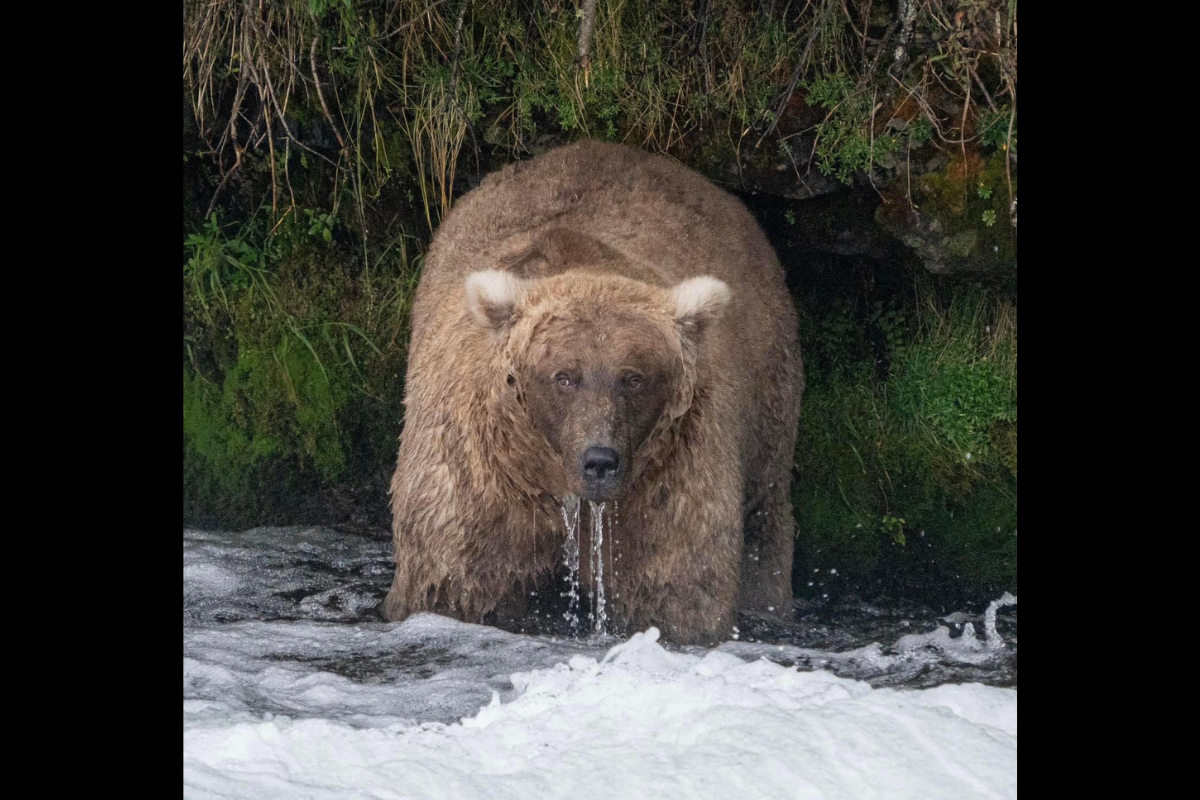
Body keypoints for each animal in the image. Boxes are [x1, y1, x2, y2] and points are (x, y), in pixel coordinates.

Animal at [380, 140, 803, 645]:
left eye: (634, 378)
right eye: (564, 376)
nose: (599, 461)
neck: (557, 484)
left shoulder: (668, 478)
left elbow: (676, 588)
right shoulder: (480, 477)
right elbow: (452, 581)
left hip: (768, 402)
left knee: (764, 520)